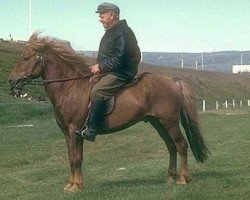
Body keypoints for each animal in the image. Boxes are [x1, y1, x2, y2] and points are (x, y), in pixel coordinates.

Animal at [8, 33, 209, 192]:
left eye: (25, 58)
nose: (11, 80)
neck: (70, 87)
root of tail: (172, 81)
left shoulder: (74, 131)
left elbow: (76, 159)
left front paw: (76, 186)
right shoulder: (68, 133)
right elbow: (72, 158)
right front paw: (73, 183)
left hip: (170, 122)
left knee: (181, 145)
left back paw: (182, 179)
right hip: (157, 123)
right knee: (171, 146)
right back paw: (169, 177)